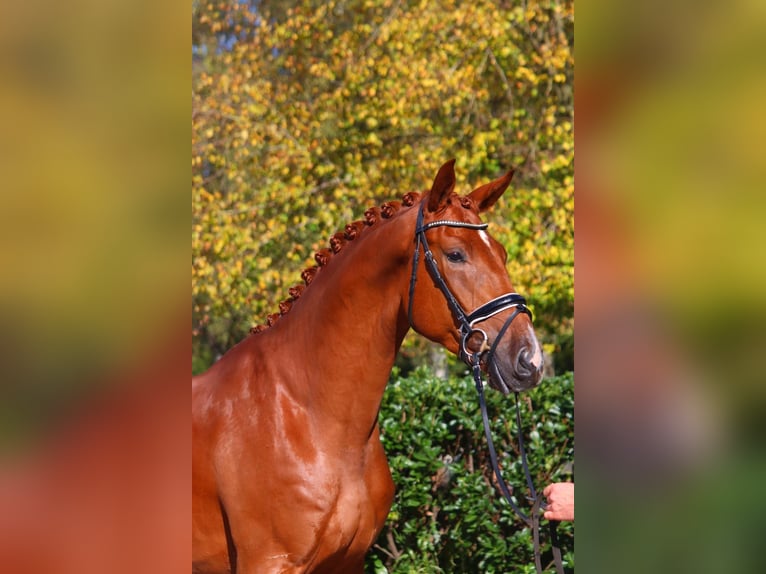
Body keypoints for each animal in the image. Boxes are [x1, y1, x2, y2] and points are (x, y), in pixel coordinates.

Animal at [194, 161, 544, 574]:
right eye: (456, 254)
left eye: (502, 254)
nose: (529, 359)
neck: (310, 418)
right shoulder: (269, 563)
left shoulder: (347, 561)